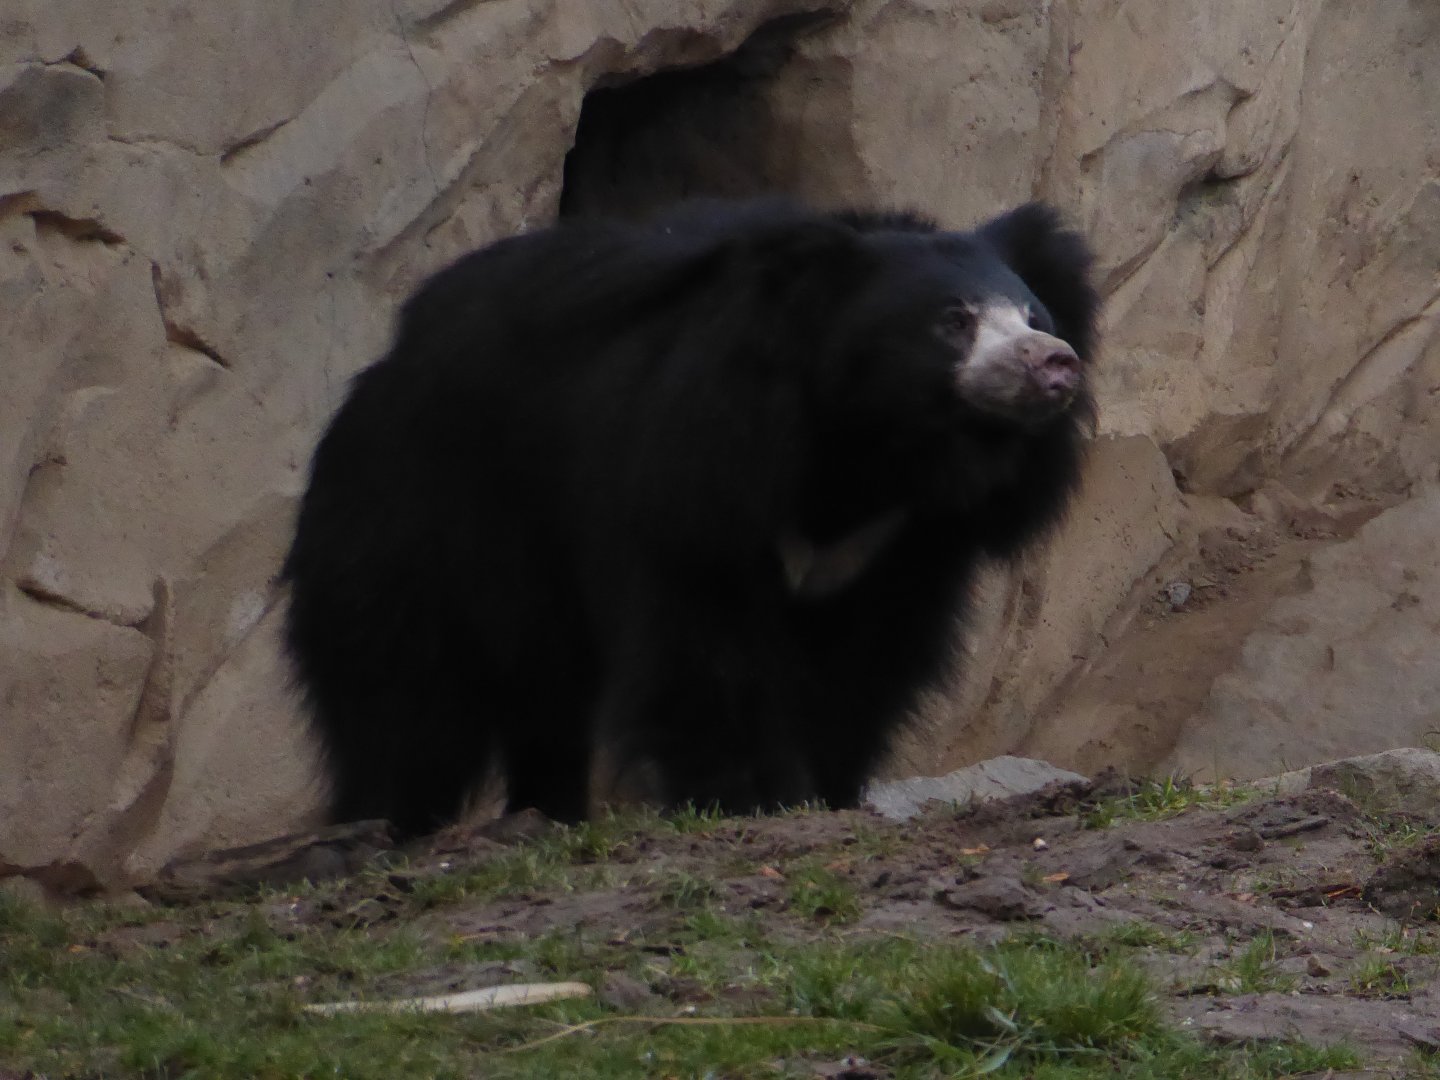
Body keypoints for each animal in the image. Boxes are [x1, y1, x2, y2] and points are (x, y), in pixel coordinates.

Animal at [281, 197, 1099, 837]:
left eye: (1034, 314)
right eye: (952, 321)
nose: (1054, 361)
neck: (868, 454)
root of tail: (378, 376)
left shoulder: (902, 543)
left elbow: (865, 667)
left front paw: (826, 789)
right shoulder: (699, 465)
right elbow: (705, 645)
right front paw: (751, 798)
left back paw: (546, 812)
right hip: (415, 515)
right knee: (405, 691)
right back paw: (386, 821)